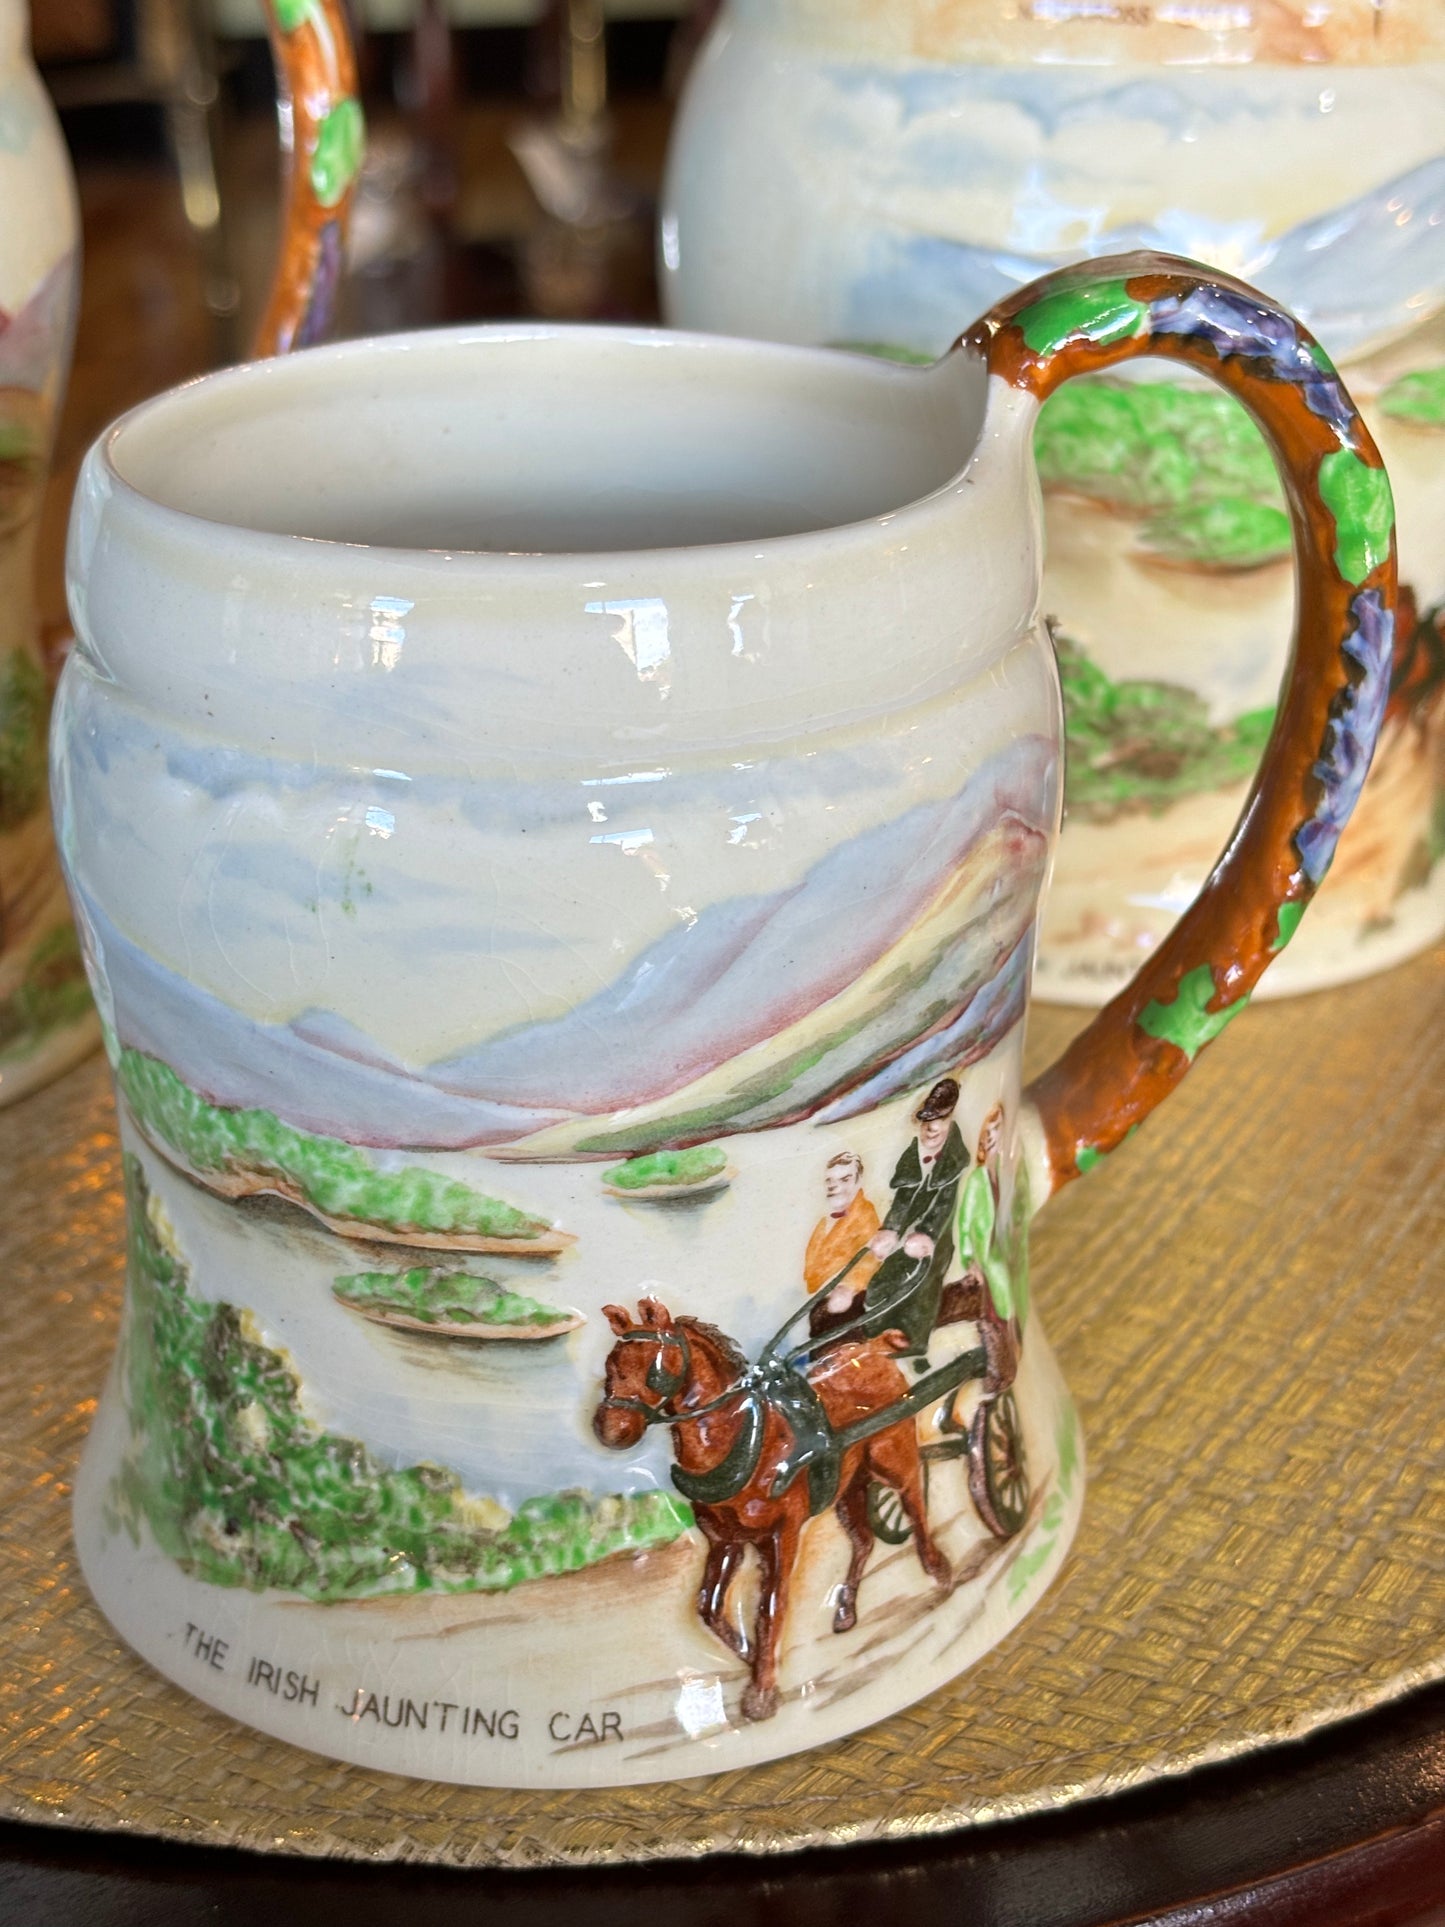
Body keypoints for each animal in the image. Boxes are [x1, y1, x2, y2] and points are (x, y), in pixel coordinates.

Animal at [597, 1302, 951, 1726]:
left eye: (656, 1367)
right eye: (611, 1364)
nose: (609, 1430)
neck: (746, 1439)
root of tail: (870, 1351)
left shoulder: (782, 1536)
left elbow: (770, 1607)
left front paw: (762, 1691)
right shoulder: (725, 1540)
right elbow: (709, 1607)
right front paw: (752, 1659)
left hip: (892, 1459)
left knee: (914, 1502)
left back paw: (938, 1569)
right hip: (850, 1485)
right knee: (864, 1539)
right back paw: (845, 1610)